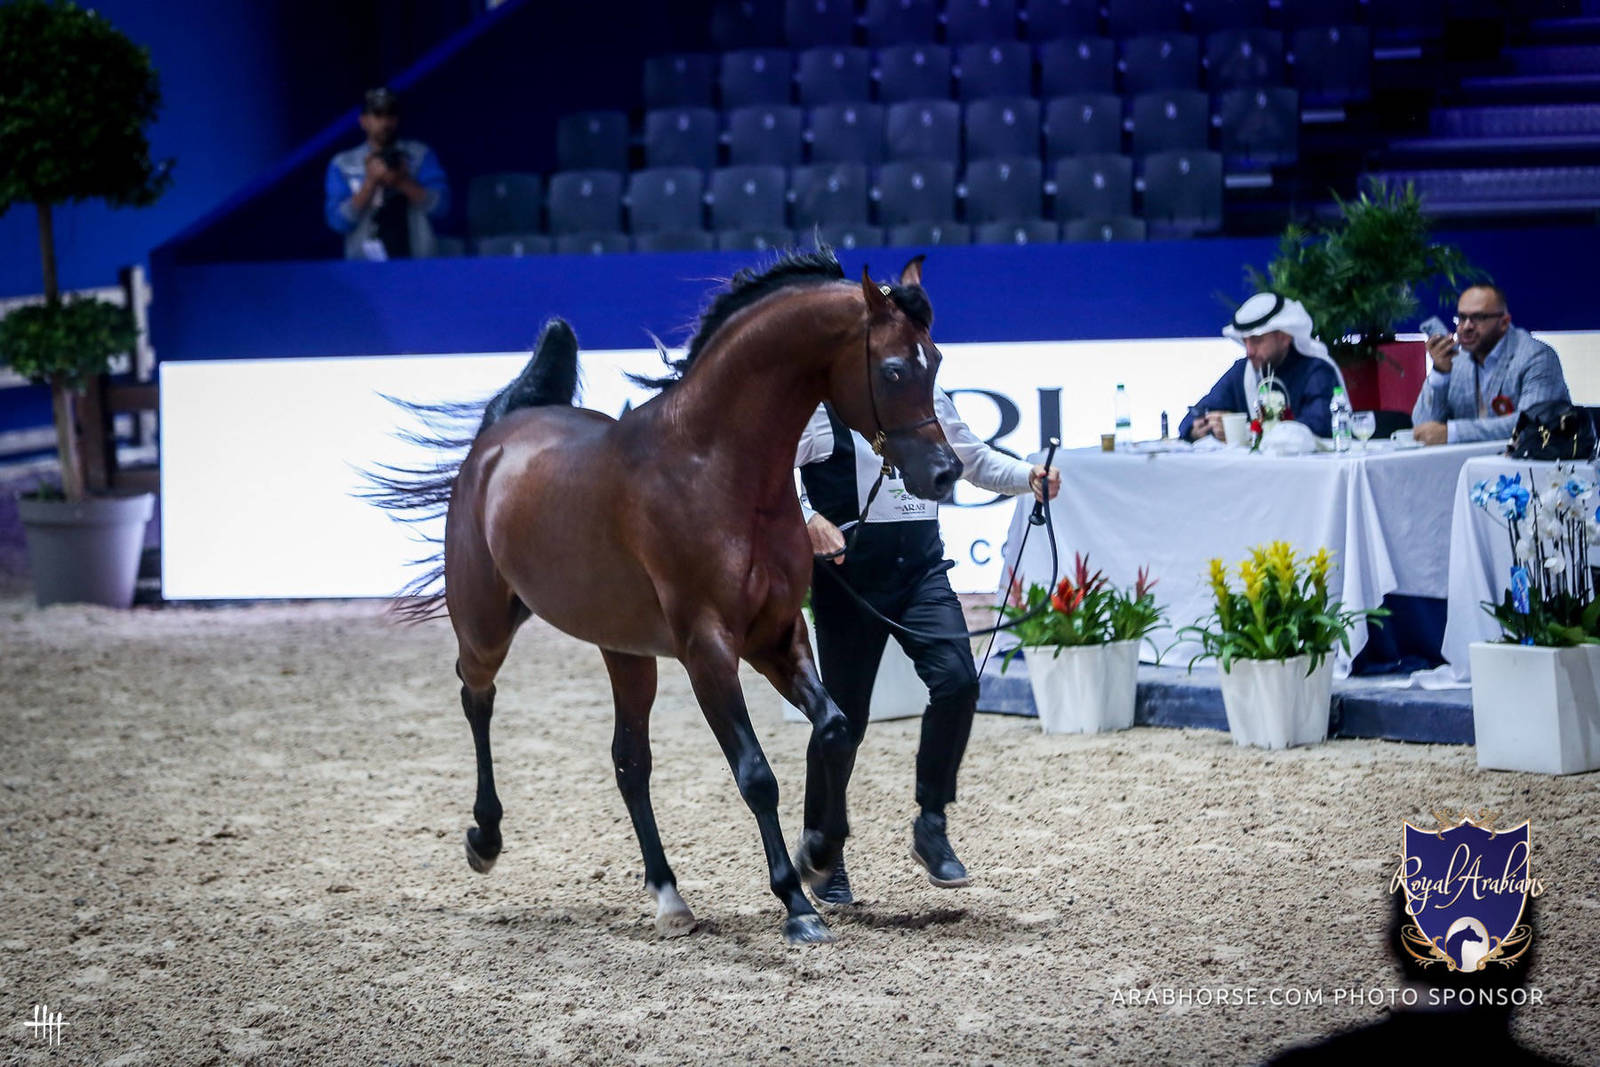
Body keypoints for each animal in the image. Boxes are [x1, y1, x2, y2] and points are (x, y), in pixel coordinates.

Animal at [367, 250, 960, 944]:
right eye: (893, 369)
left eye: (936, 360)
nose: (945, 473)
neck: (714, 469)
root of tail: (501, 433)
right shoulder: (709, 650)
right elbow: (756, 775)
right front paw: (796, 904)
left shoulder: (778, 635)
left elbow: (837, 729)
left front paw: (817, 856)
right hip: (486, 623)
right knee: (475, 695)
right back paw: (484, 839)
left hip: (625, 651)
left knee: (630, 761)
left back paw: (668, 895)